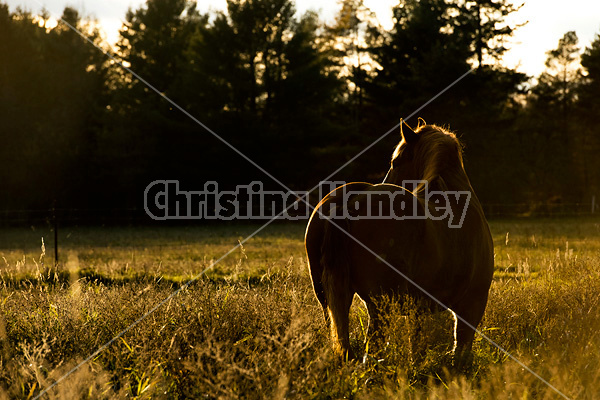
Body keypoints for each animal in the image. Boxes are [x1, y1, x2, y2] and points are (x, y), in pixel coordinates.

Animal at [304, 119, 492, 362]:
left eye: (396, 161)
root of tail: (353, 199)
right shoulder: (472, 304)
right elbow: (460, 347)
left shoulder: (419, 308)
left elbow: (417, 345)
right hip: (379, 304)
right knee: (373, 345)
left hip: (327, 297)